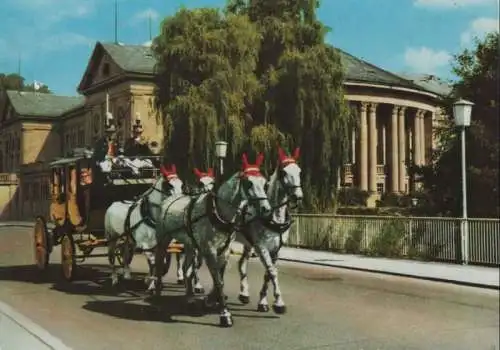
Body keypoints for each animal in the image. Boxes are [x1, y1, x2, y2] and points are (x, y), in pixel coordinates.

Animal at [156, 154, 274, 328]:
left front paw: (212, 301)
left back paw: (189, 298)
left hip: (190, 244)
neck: (218, 212)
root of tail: (170, 198)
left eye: (265, 183)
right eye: (249, 183)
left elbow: (220, 279)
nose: (266, 209)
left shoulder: (224, 250)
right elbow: (218, 281)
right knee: (158, 264)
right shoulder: (209, 250)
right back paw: (156, 292)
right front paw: (225, 314)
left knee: (186, 269)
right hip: (163, 239)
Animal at [234, 147, 300, 314]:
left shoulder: (276, 249)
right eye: (284, 173)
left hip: (248, 243)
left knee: (241, 263)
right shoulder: (261, 247)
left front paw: (263, 301)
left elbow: (267, 274)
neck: (273, 216)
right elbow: (272, 272)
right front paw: (279, 303)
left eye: (299, 171)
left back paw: (244, 294)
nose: (298, 197)